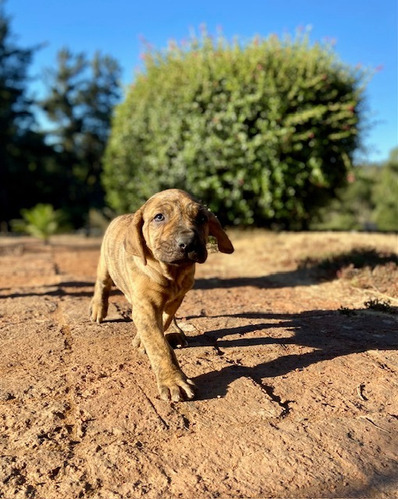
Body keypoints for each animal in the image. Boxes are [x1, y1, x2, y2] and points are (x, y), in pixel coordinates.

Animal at [90, 188, 233, 402]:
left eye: (201, 218)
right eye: (159, 217)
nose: (189, 243)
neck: (171, 273)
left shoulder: (177, 297)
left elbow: (165, 318)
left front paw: (145, 339)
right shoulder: (146, 307)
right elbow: (159, 346)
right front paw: (174, 381)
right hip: (105, 264)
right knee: (103, 283)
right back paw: (98, 308)